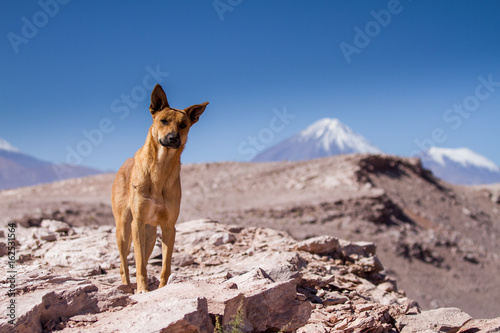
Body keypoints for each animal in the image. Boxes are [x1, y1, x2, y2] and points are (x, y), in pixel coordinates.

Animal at [112, 84, 208, 292]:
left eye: (183, 125)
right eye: (163, 121)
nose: (173, 138)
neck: (160, 167)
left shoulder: (169, 227)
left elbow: (165, 266)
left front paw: (162, 288)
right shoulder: (137, 223)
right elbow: (139, 264)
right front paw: (142, 289)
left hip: (149, 235)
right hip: (124, 228)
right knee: (124, 264)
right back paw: (127, 287)